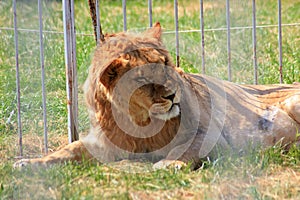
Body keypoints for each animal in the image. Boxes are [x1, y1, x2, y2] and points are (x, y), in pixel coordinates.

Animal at [14, 22, 300, 170]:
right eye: (142, 79)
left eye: (165, 63)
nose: (173, 95)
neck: (140, 124)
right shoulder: (103, 145)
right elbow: (69, 149)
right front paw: (29, 162)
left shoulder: (212, 136)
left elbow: (188, 147)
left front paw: (168, 164)